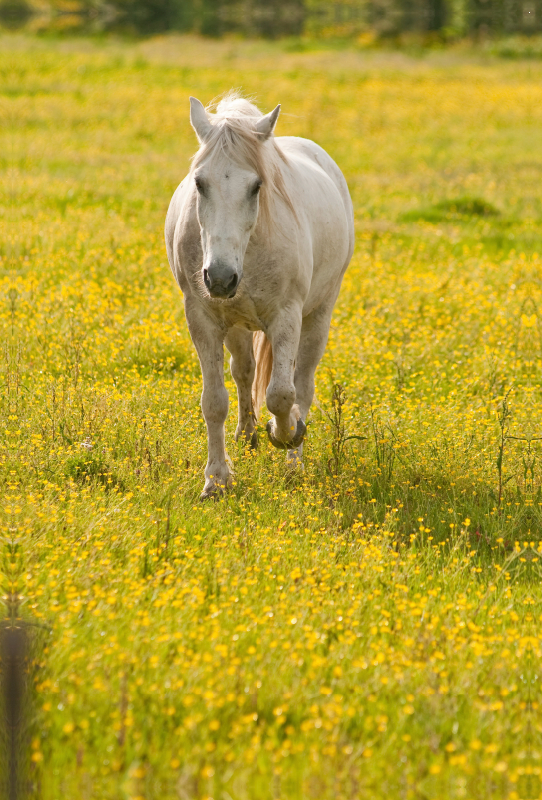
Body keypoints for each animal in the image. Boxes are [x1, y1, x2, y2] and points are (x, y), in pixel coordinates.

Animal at [164, 95, 354, 500]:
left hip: (319, 316)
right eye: (199, 183)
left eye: (256, 187)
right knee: (244, 372)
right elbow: (214, 401)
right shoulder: (202, 317)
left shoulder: (287, 316)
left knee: (303, 385)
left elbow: (281, 394)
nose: (220, 278)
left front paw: (286, 434)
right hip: (236, 324)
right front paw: (216, 481)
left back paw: (294, 462)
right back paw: (247, 434)